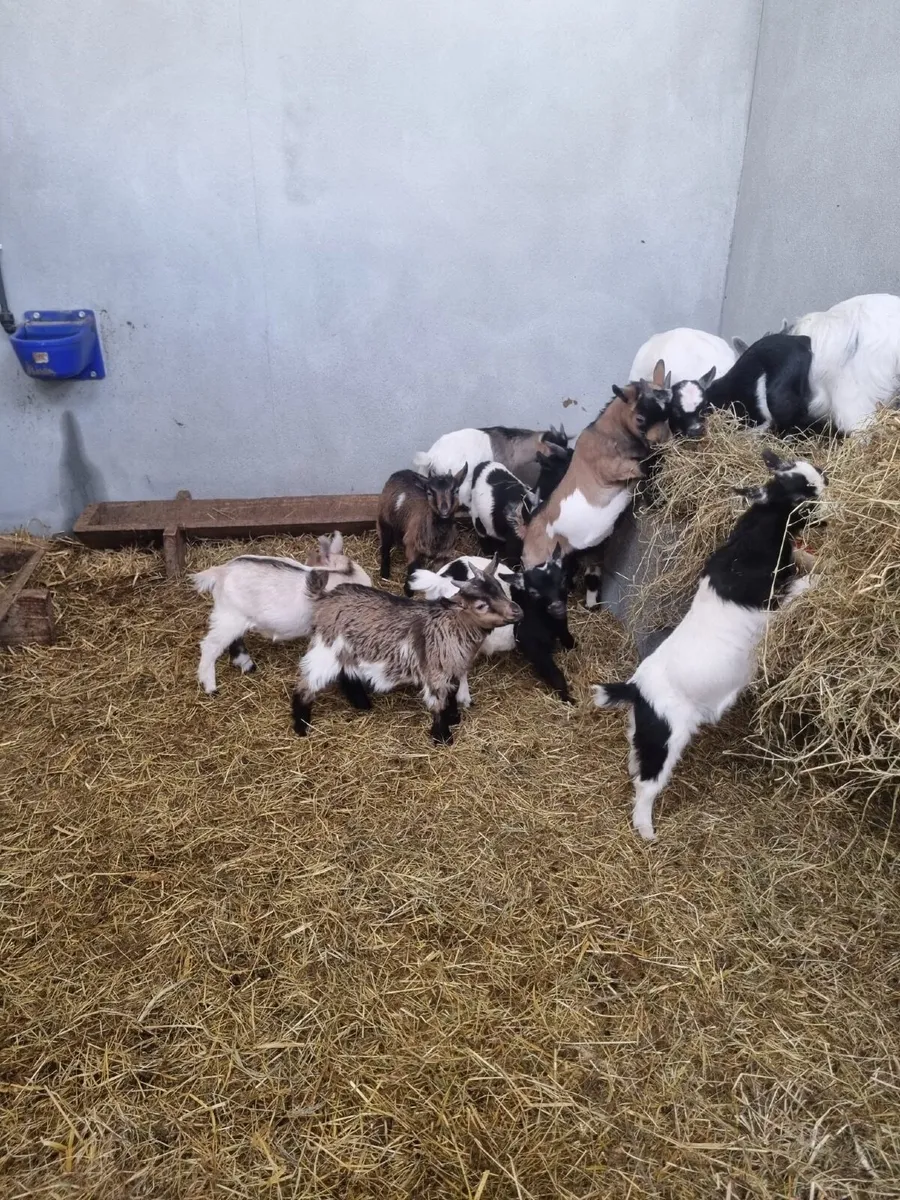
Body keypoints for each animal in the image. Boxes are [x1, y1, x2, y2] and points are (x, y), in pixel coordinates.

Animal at [292, 558, 522, 744]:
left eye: (500, 589)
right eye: (481, 605)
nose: (517, 611)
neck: (451, 625)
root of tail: (324, 597)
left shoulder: (453, 670)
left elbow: (452, 693)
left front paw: (454, 717)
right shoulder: (435, 674)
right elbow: (438, 704)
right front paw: (443, 737)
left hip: (347, 650)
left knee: (346, 674)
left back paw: (362, 704)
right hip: (326, 648)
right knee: (307, 683)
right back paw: (301, 725)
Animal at [409, 546, 574, 704]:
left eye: (563, 581)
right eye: (533, 592)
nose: (557, 607)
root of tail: (438, 581)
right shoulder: (532, 645)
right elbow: (552, 672)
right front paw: (568, 699)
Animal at [521, 364, 672, 569]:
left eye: (667, 411)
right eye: (640, 418)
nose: (661, 440)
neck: (605, 435)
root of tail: (526, 541)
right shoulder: (614, 469)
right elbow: (645, 468)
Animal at [592, 451, 826, 841]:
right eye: (801, 494)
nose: (826, 485)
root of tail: (635, 690)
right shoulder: (774, 600)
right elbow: (803, 586)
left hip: (644, 734)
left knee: (635, 761)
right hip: (667, 738)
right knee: (647, 784)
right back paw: (647, 832)